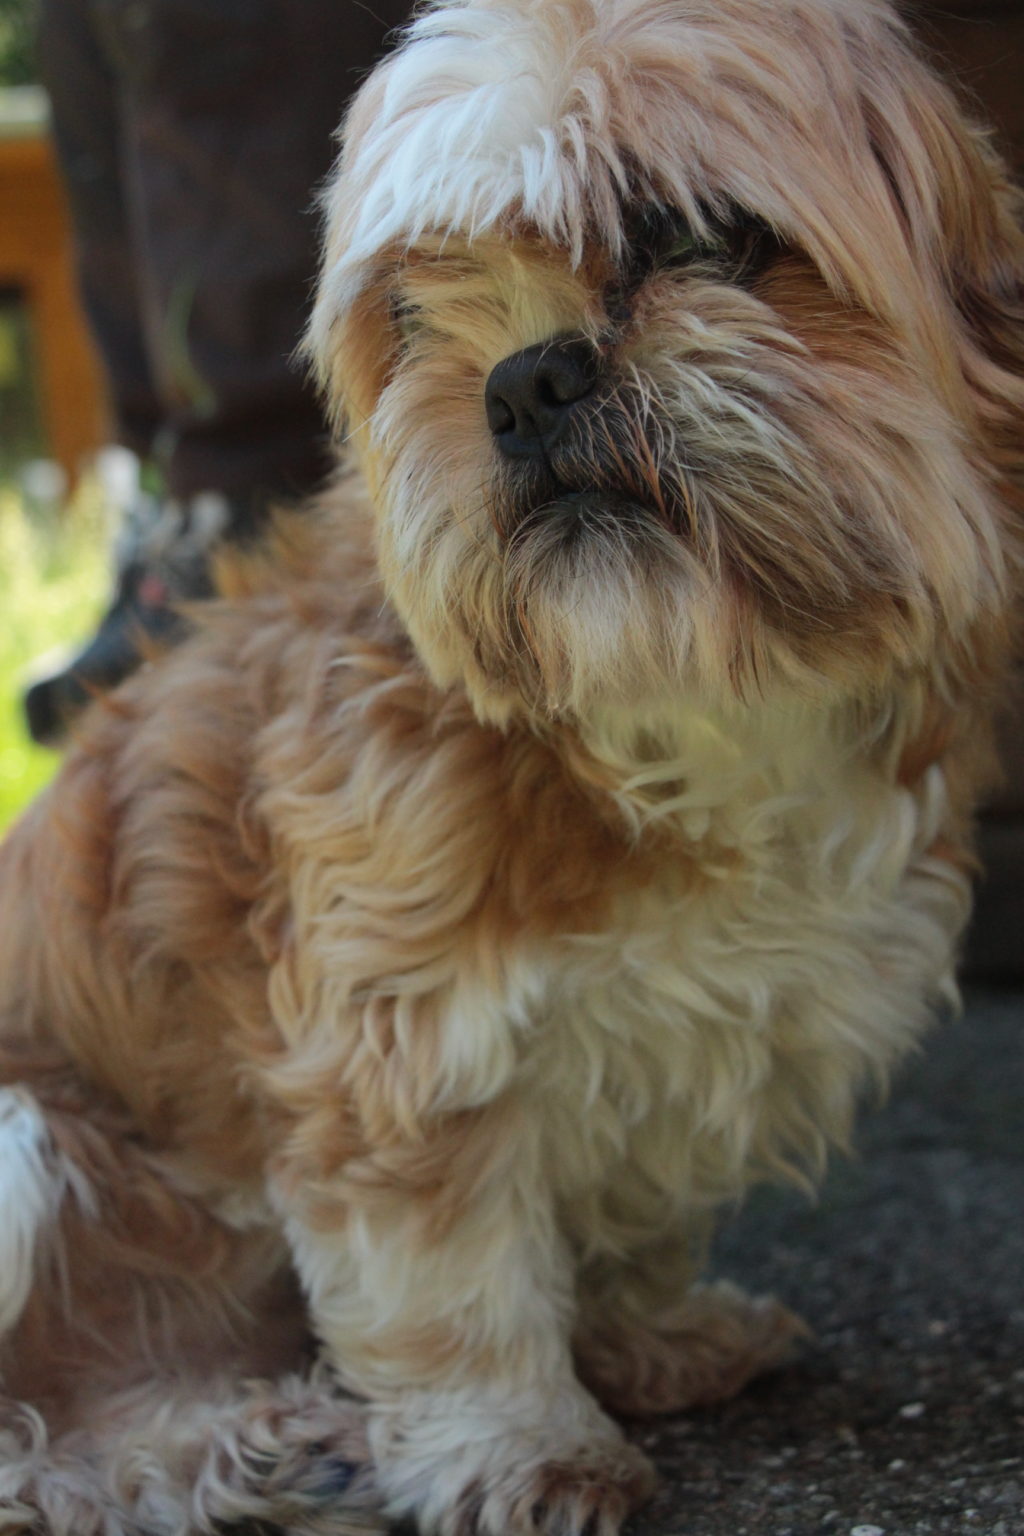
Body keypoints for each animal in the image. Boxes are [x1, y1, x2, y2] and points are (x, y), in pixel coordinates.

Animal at [2, 0, 1024, 1529]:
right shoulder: (396, 1046)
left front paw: (654, 1335)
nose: (526, 377)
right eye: (417, 308)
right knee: (32, 1447)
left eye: (694, 230)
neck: (672, 710)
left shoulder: (705, 1032)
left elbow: (633, 1213)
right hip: (21, 1143)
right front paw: (527, 1447)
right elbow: (456, 1291)